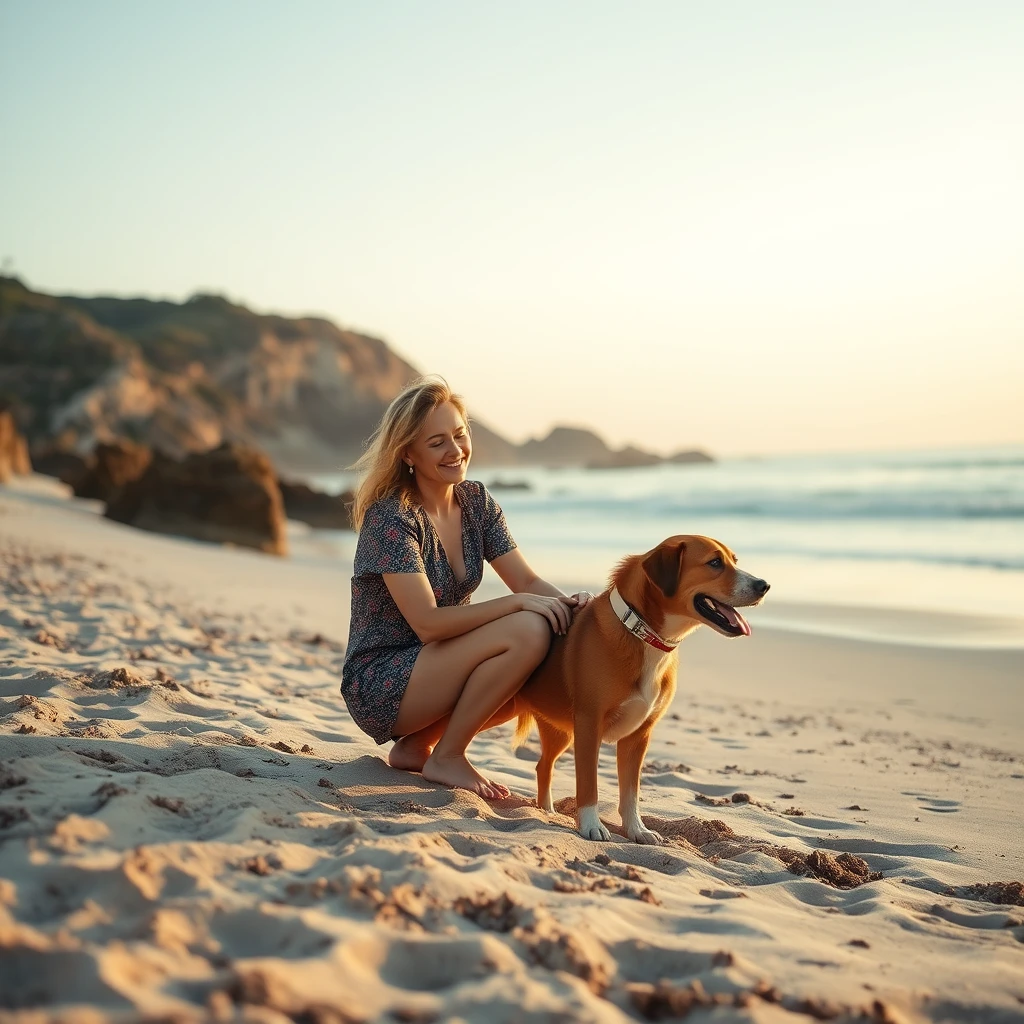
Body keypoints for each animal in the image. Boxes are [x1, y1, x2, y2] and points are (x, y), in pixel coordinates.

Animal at [512, 536, 770, 839]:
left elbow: (631, 792)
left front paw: (636, 829)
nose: (764, 585)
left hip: (560, 733)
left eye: (734, 560)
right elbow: (588, 784)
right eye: (715, 562)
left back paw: (546, 811)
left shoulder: (639, 736)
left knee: (543, 765)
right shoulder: (588, 725)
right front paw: (591, 825)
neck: (642, 632)